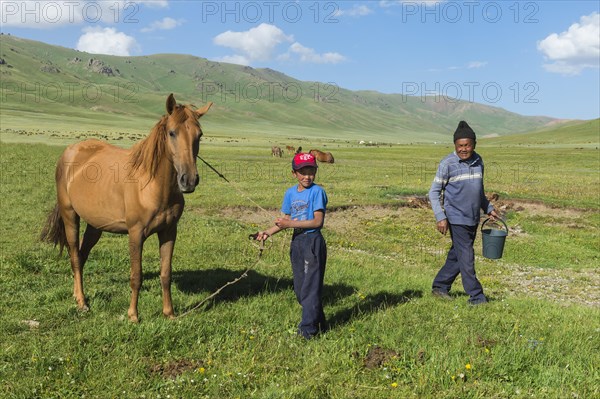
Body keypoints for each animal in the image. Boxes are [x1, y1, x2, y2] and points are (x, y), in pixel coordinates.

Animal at [40, 94, 213, 322]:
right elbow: (136, 276)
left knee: (82, 256)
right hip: (70, 217)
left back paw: (77, 295)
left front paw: (169, 313)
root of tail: (70, 151)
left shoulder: (169, 232)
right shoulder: (136, 233)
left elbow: (166, 274)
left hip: (95, 226)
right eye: (172, 132)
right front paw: (133, 315)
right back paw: (82, 303)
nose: (189, 180)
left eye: (199, 135)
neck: (152, 185)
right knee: (75, 257)